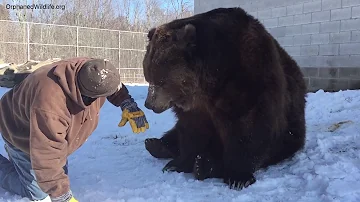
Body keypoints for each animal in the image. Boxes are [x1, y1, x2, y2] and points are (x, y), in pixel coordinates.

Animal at [141, 7, 306, 190]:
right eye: (148, 76)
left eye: (161, 81)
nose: (149, 104)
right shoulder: (197, 108)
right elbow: (191, 130)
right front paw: (178, 163)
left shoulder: (248, 79)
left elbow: (248, 128)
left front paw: (237, 176)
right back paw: (156, 144)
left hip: (291, 127)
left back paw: (205, 165)